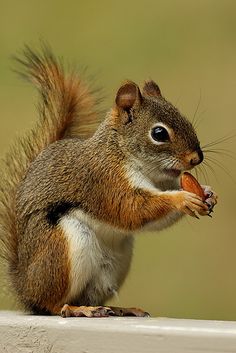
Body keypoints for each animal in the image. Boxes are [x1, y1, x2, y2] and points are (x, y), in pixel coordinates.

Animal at [0, 45, 218, 318]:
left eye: (185, 118)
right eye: (159, 133)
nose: (196, 158)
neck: (121, 151)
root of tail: (25, 288)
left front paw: (207, 193)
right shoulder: (104, 180)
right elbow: (131, 209)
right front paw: (183, 199)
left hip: (115, 264)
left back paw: (120, 308)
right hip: (63, 250)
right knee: (52, 304)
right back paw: (78, 309)